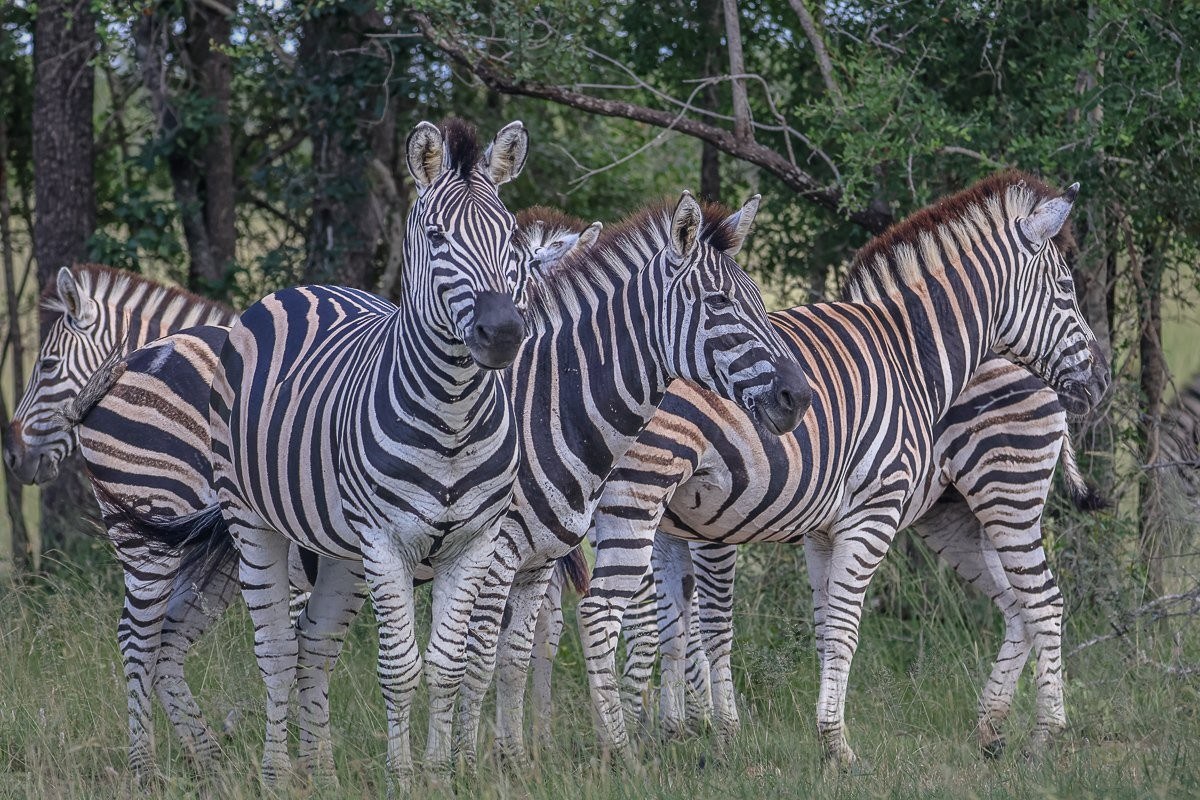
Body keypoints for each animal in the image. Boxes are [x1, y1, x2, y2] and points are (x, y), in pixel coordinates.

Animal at [578, 173, 1109, 769]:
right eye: (1065, 290)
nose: (1101, 381)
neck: (910, 355)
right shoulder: (856, 516)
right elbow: (827, 629)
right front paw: (824, 742)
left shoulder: (826, 523)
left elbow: (822, 629)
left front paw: (818, 740)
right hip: (980, 505)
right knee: (1036, 602)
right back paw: (1030, 734)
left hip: (990, 499)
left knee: (1030, 601)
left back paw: (1011, 731)